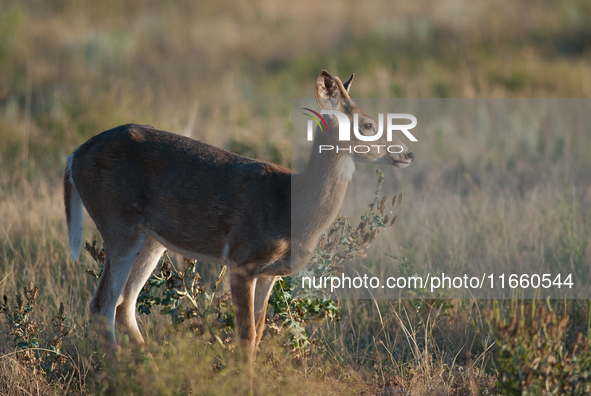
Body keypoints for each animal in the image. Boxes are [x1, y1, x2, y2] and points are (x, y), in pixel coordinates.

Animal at [65, 70, 414, 372]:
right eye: (367, 124)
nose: (407, 154)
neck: (290, 203)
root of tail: (74, 156)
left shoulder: (268, 273)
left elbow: (258, 332)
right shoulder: (242, 258)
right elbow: (245, 335)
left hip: (151, 239)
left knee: (124, 303)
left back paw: (152, 370)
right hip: (118, 223)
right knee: (102, 304)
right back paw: (120, 373)